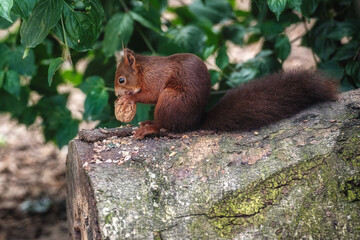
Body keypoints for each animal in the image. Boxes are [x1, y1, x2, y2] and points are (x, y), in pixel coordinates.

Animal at [114, 48, 338, 139]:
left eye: (121, 80)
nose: (116, 94)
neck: (145, 69)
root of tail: (195, 122)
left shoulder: (156, 78)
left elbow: (151, 94)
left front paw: (129, 98)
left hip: (170, 99)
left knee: (165, 124)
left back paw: (150, 127)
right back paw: (148, 123)